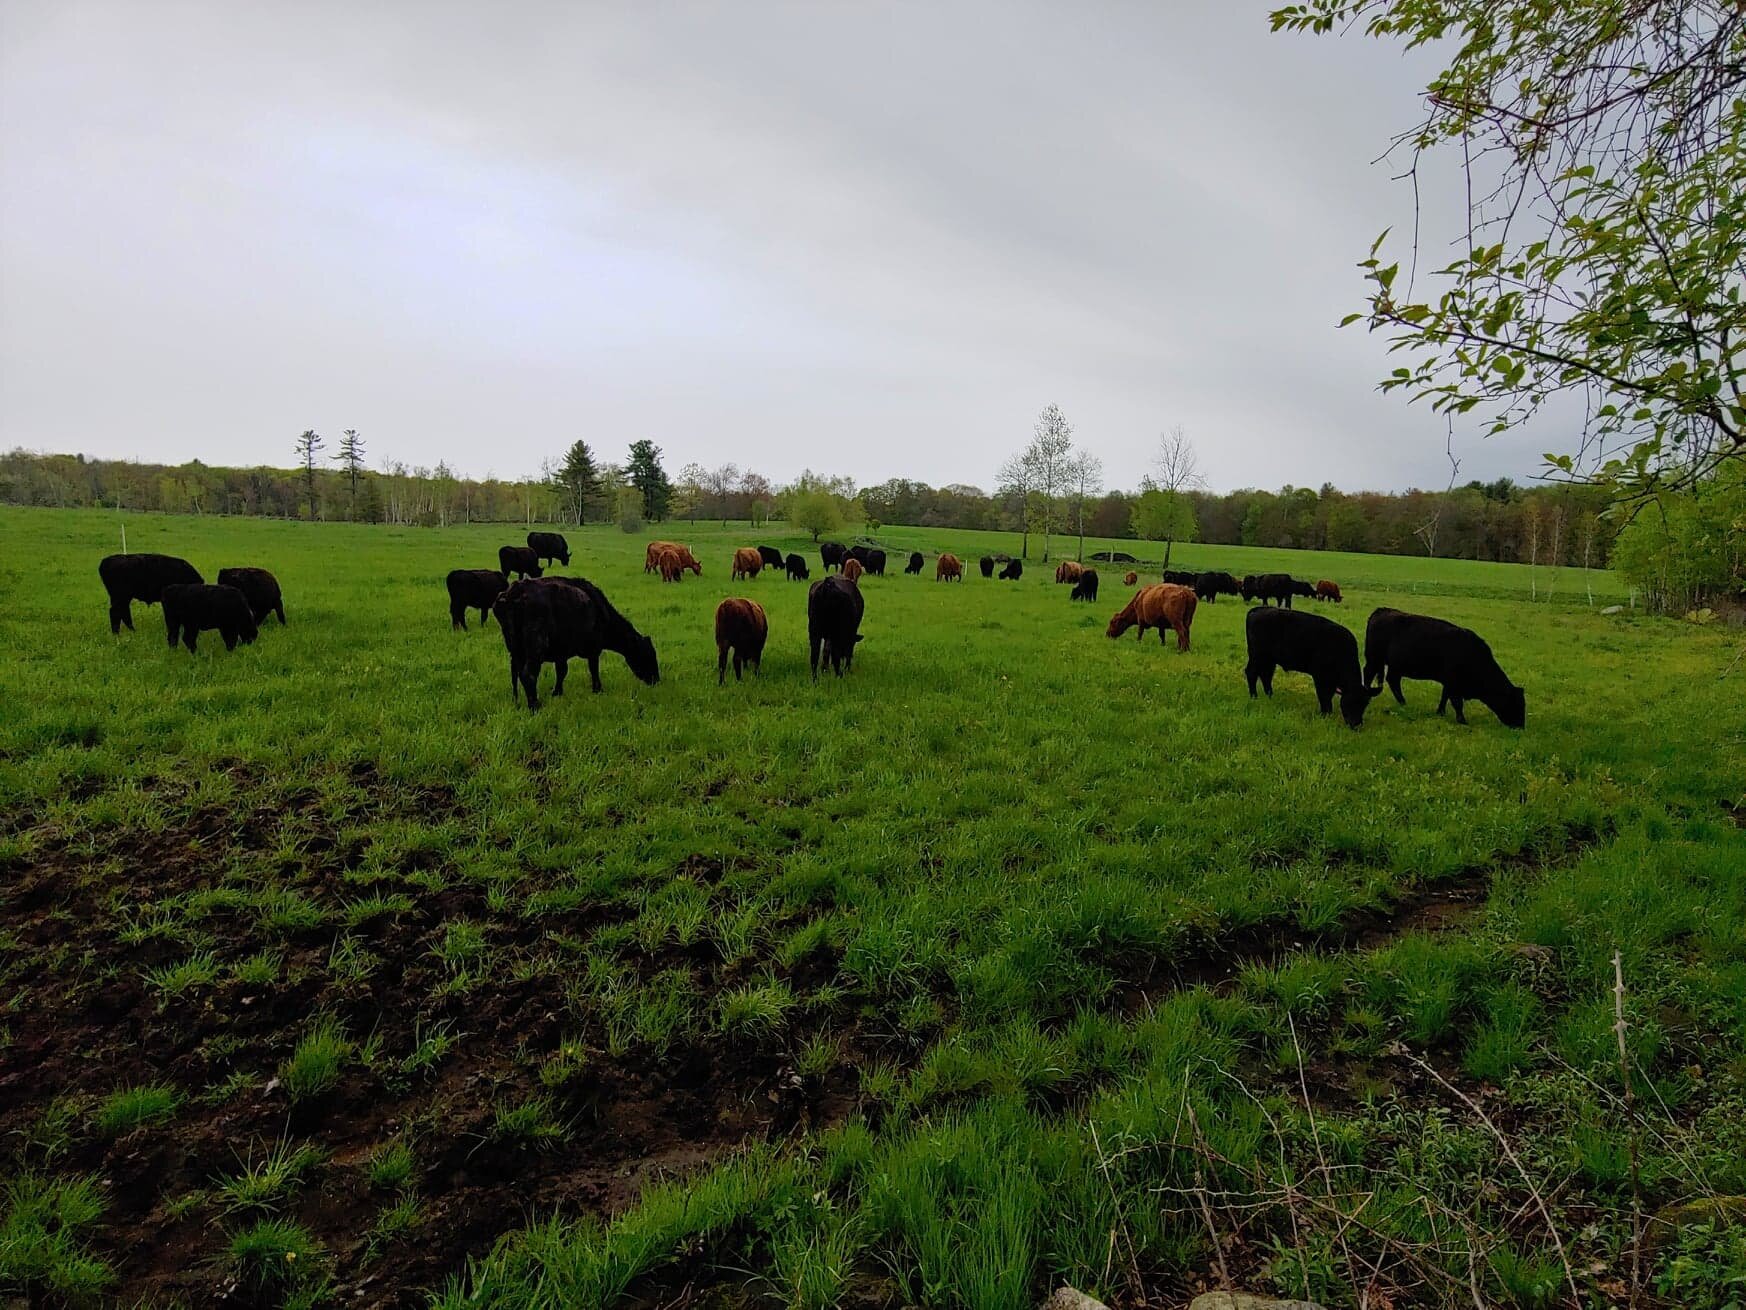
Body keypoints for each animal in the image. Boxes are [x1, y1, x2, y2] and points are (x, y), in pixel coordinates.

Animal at [497, 576, 659, 707]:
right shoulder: (594, 649)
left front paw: (557, 692)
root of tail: (515, 592)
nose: (656, 680)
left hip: (515, 650)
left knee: (516, 673)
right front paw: (598, 689)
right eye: (649, 655)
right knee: (528, 674)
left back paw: (517, 701)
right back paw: (535, 706)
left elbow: (562, 671)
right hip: (536, 646)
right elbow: (593, 669)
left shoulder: (561, 653)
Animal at [1244, 607, 1375, 728]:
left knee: (1266, 675)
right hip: (1257, 656)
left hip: (1268, 660)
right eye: (1350, 701)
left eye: (1365, 704)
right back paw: (1254, 697)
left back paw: (1270, 696)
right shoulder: (1320, 677)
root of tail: (1258, 609)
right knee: (1251, 673)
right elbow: (1324, 696)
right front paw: (1325, 714)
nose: (1356, 725)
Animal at [1362, 608, 1524, 728]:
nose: (1520, 726)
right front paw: (1462, 721)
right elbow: (1457, 702)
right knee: (1369, 673)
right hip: (1374, 659)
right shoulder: (1454, 684)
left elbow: (1444, 696)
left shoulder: (1449, 682)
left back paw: (1403, 702)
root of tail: (1381, 611)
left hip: (1394, 665)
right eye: (1516, 704)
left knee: (1392, 680)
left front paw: (1440, 712)